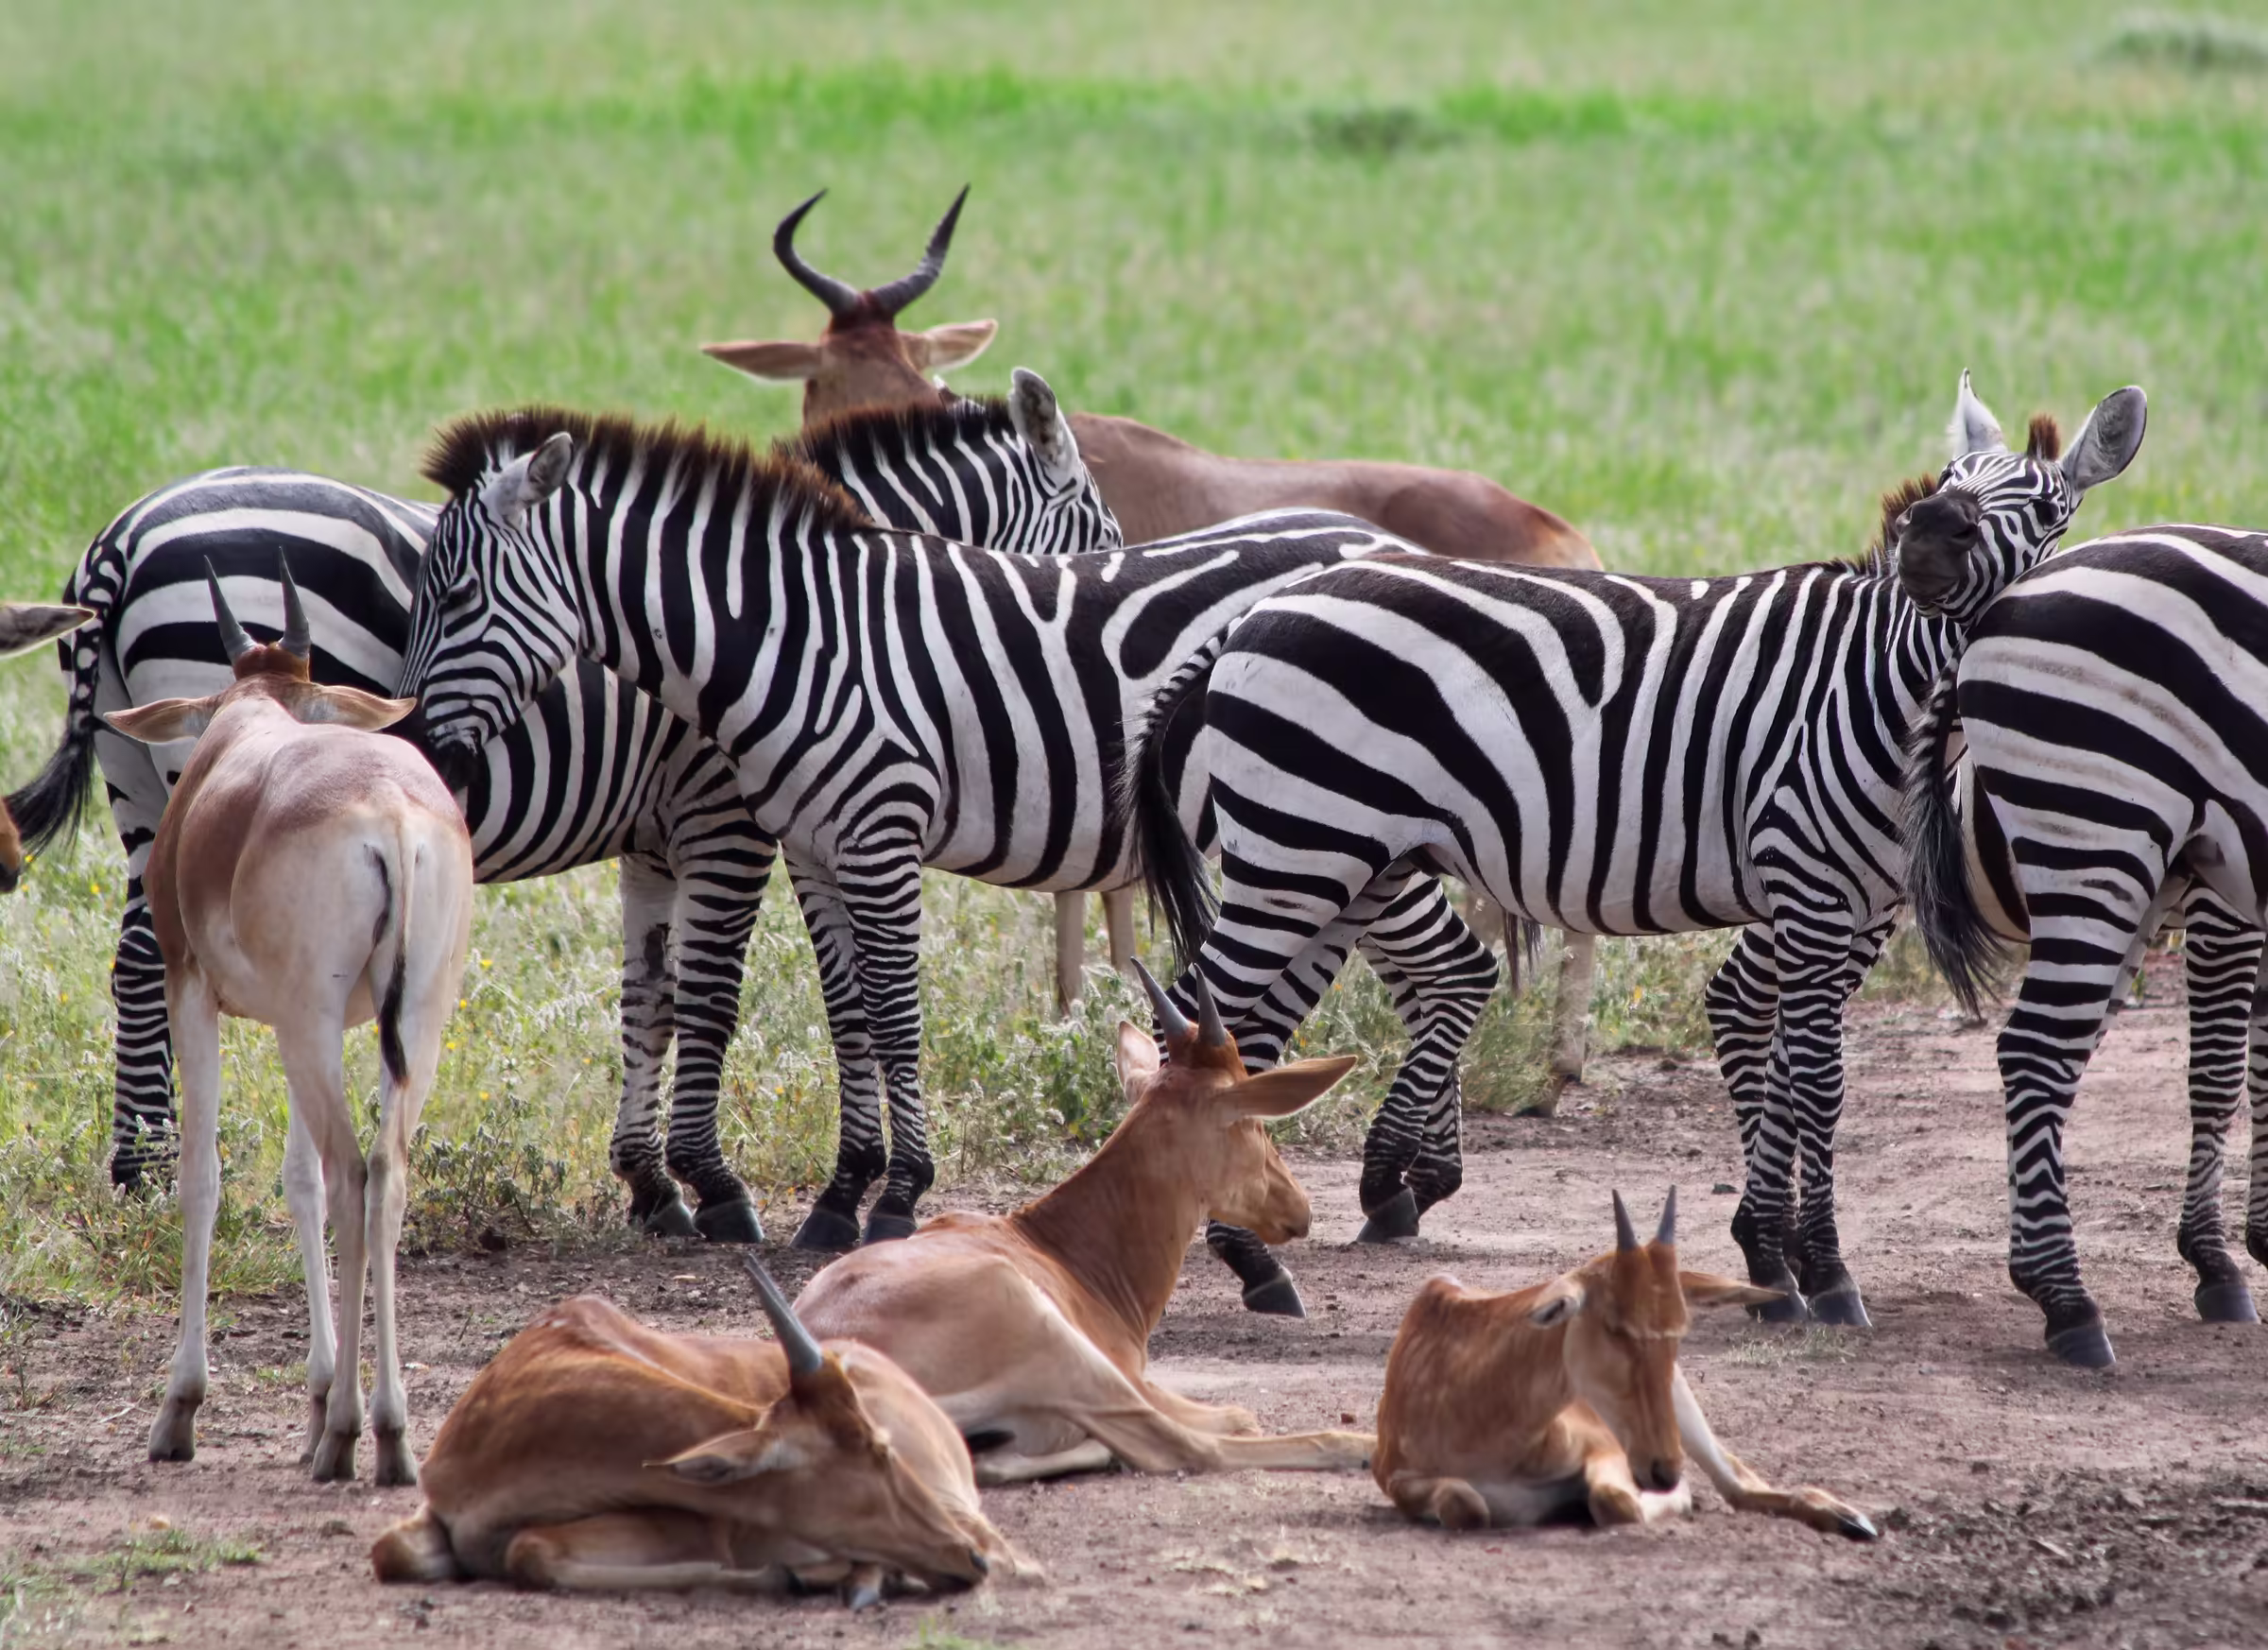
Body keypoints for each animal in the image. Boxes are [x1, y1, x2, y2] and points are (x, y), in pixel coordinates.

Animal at [6, 373, 1119, 1245]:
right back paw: (162, 1172)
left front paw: (652, 1185)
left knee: (137, 963)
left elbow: (651, 996)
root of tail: (123, 537)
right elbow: (716, 996)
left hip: (144, 775)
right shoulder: (728, 816)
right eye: (1102, 535)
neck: (800, 619)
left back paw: (143, 1172)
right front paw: (715, 1188)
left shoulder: (660, 839)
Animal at [390, 399, 1495, 1283]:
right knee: (1425, 976)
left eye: (456, 599)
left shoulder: (855, 829)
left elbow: (878, 1007)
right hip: (1333, 840)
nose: (418, 751)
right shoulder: (814, 843)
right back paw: (1404, 1179)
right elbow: (847, 1015)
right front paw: (839, 1196)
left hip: (1343, 821)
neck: (800, 640)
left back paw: (1395, 1180)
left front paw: (891, 1198)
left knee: (1455, 969)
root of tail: (1380, 548)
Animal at [1126, 372, 2147, 1326]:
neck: (1870, 685)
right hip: (1297, 856)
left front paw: (1778, 1266)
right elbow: (1819, 1082)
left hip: (1336, 865)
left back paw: (1253, 1263)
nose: (1927, 536)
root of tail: (1253, 615)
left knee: (1245, 1034)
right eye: (1950, 479)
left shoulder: (1857, 909)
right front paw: (1826, 1277)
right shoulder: (1813, 894)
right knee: (1203, 1011)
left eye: (2047, 510)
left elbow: (1787, 1069)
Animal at [1906, 523, 2268, 1368]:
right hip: (2100, 831)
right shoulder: (2226, 889)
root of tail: (1998, 609)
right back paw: (2066, 1302)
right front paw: (2225, 1255)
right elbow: (2225, 1069)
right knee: (2036, 1051)